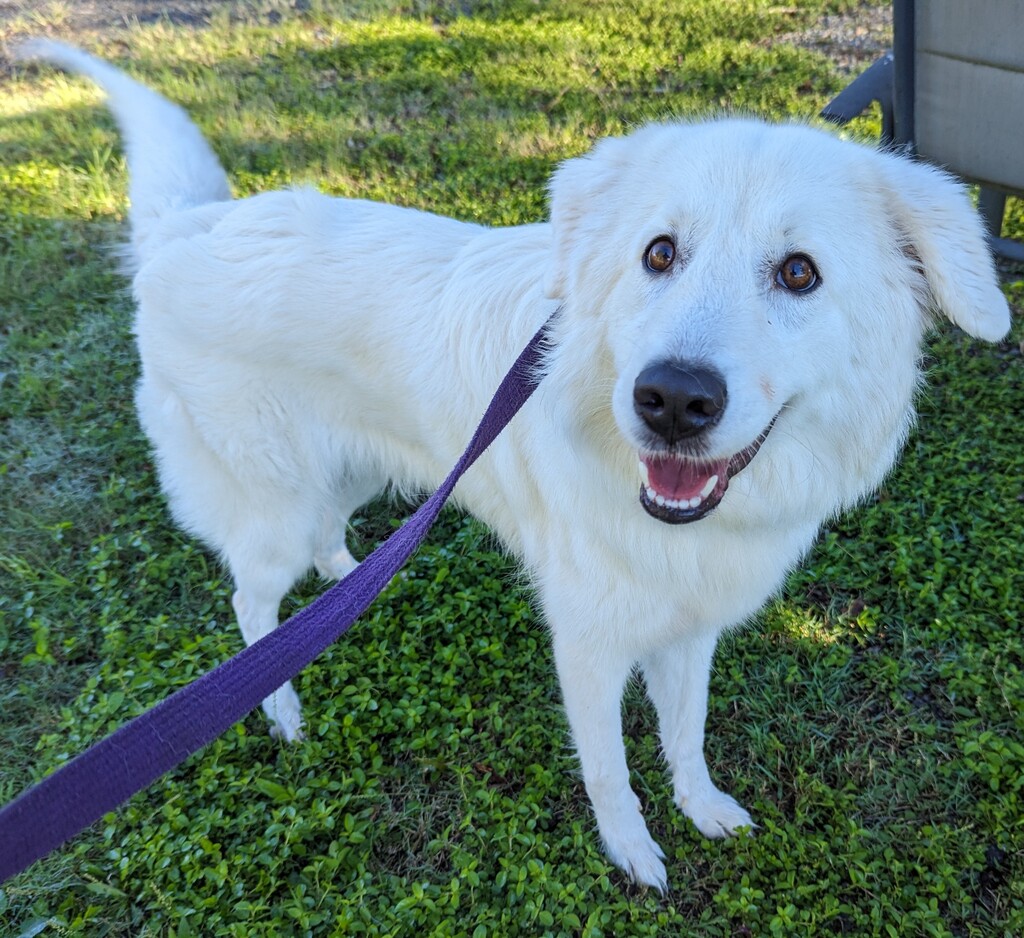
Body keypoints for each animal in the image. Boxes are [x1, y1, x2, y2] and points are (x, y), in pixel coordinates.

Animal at [19, 38, 1011, 884]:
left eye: (799, 273)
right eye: (659, 254)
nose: (672, 400)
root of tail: (193, 228)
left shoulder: (687, 628)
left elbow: (686, 737)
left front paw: (702, 809)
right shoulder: (590, 648)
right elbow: (611, 769)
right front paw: (634, 855)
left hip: (354, 469)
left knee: (330, 543)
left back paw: (351, 582)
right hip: (274, 507)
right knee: (249, 603)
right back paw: (283, 708)